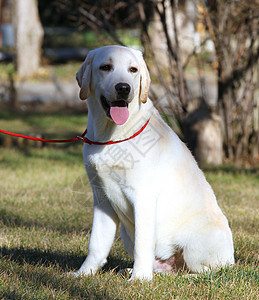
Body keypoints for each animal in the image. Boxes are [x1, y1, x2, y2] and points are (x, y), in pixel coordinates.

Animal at [74, 45, 235, 280]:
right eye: (105, 67)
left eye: (133, 69)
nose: (124, 88)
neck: (112, 136)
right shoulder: (102, 198)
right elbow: (97, 243)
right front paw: (83, 274)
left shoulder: (143, 196)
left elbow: (143, 242)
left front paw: (139, 279)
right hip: (127, 234)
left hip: (197, 243)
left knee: (209, 272)